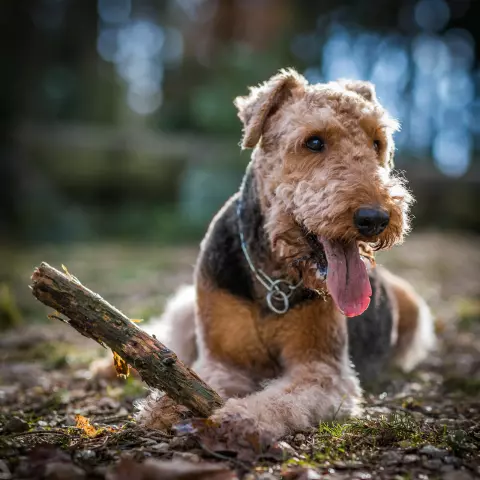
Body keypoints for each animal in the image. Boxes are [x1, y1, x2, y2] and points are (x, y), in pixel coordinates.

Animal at [135, 67, 436, 438]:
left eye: (377, 143)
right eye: (314, 142)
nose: (376, 218)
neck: (273, 278)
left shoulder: (321, 367)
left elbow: (281, 399)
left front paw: (243, 417)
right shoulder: (224, 361)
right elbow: (193, 378)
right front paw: (163, 407)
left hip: (414, 311)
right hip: (185, 308)